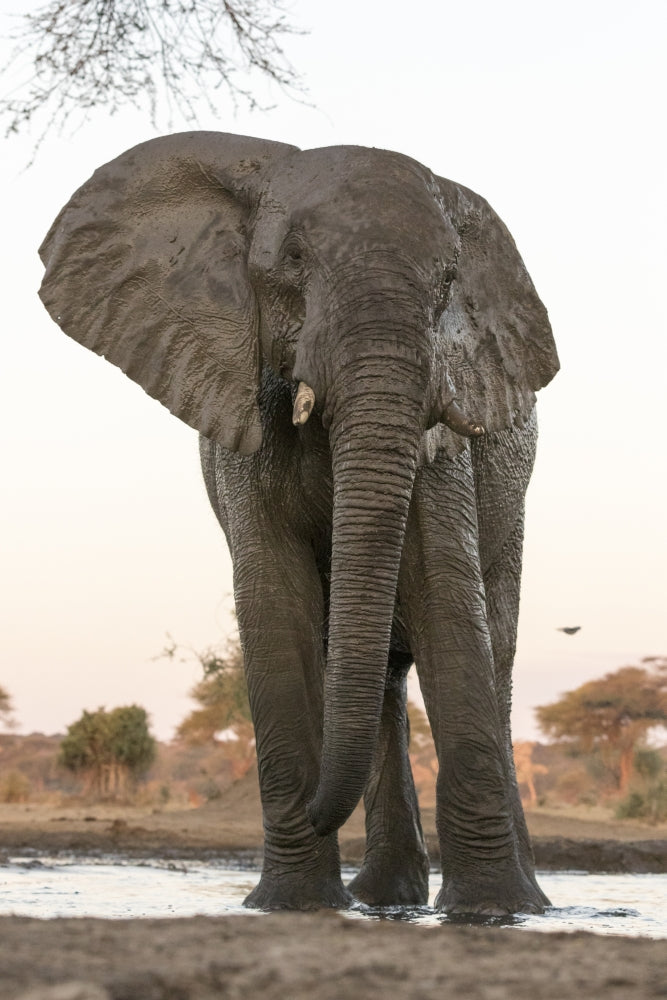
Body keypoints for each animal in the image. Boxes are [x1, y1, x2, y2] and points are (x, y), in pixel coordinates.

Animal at [39, 131, 559, 914]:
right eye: (289, 263)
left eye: (448, 284)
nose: (318, 808)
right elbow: (276, 606)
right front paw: (290, 904)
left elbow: (447, 597)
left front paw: (491, 912)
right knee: (377, 677)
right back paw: (382, 898)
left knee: (490, 651)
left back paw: (508, 902)